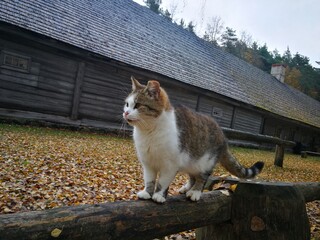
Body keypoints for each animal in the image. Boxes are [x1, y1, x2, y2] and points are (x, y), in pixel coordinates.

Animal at [122, 76, 262, 202]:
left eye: (138, 105)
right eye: (127, 104)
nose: (126, 112)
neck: (149, 132)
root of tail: (223, 136)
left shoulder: (170, 165)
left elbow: (162, 182)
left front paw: (159, 195)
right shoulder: (148, 164)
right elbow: (149, 180)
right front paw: (147, 193)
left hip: (204, 162)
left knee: (202, 178)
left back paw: (195, 192)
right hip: (191, 161)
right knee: (193, 177)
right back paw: (186, 188)